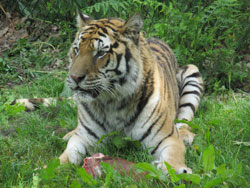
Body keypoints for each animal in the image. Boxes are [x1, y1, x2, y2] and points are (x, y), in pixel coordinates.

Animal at [13, 12, 203, 175]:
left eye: (100, 53)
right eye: (76, 49)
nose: (74, 77)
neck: (113, 102)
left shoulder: (168, 139)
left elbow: (173, 158)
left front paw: (172, 170)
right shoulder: (85, 138)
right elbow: (65, 156)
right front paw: (45, 170)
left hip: (193, 73)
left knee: (184, 119)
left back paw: (186, 135)